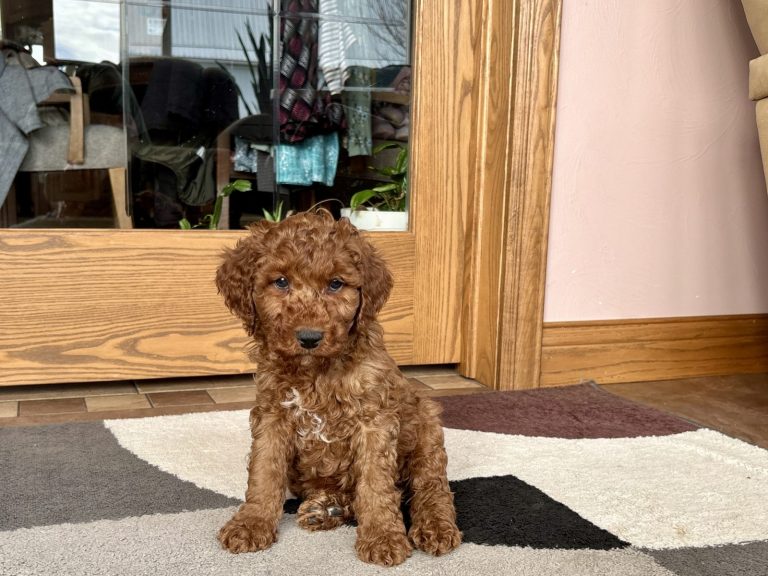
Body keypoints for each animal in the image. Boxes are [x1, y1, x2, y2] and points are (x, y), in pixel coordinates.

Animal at [215, 211, 461, 566]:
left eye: (335, 284)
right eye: (281, 282)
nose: (309, 337)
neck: (316, 372)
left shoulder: (374, 421)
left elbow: (375, 484)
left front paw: (383, 537)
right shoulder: (273, 415)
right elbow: (264, 472)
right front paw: (251, 523)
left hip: (426, 428)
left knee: (431, 486)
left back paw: (436, 526)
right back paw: (327, 509)